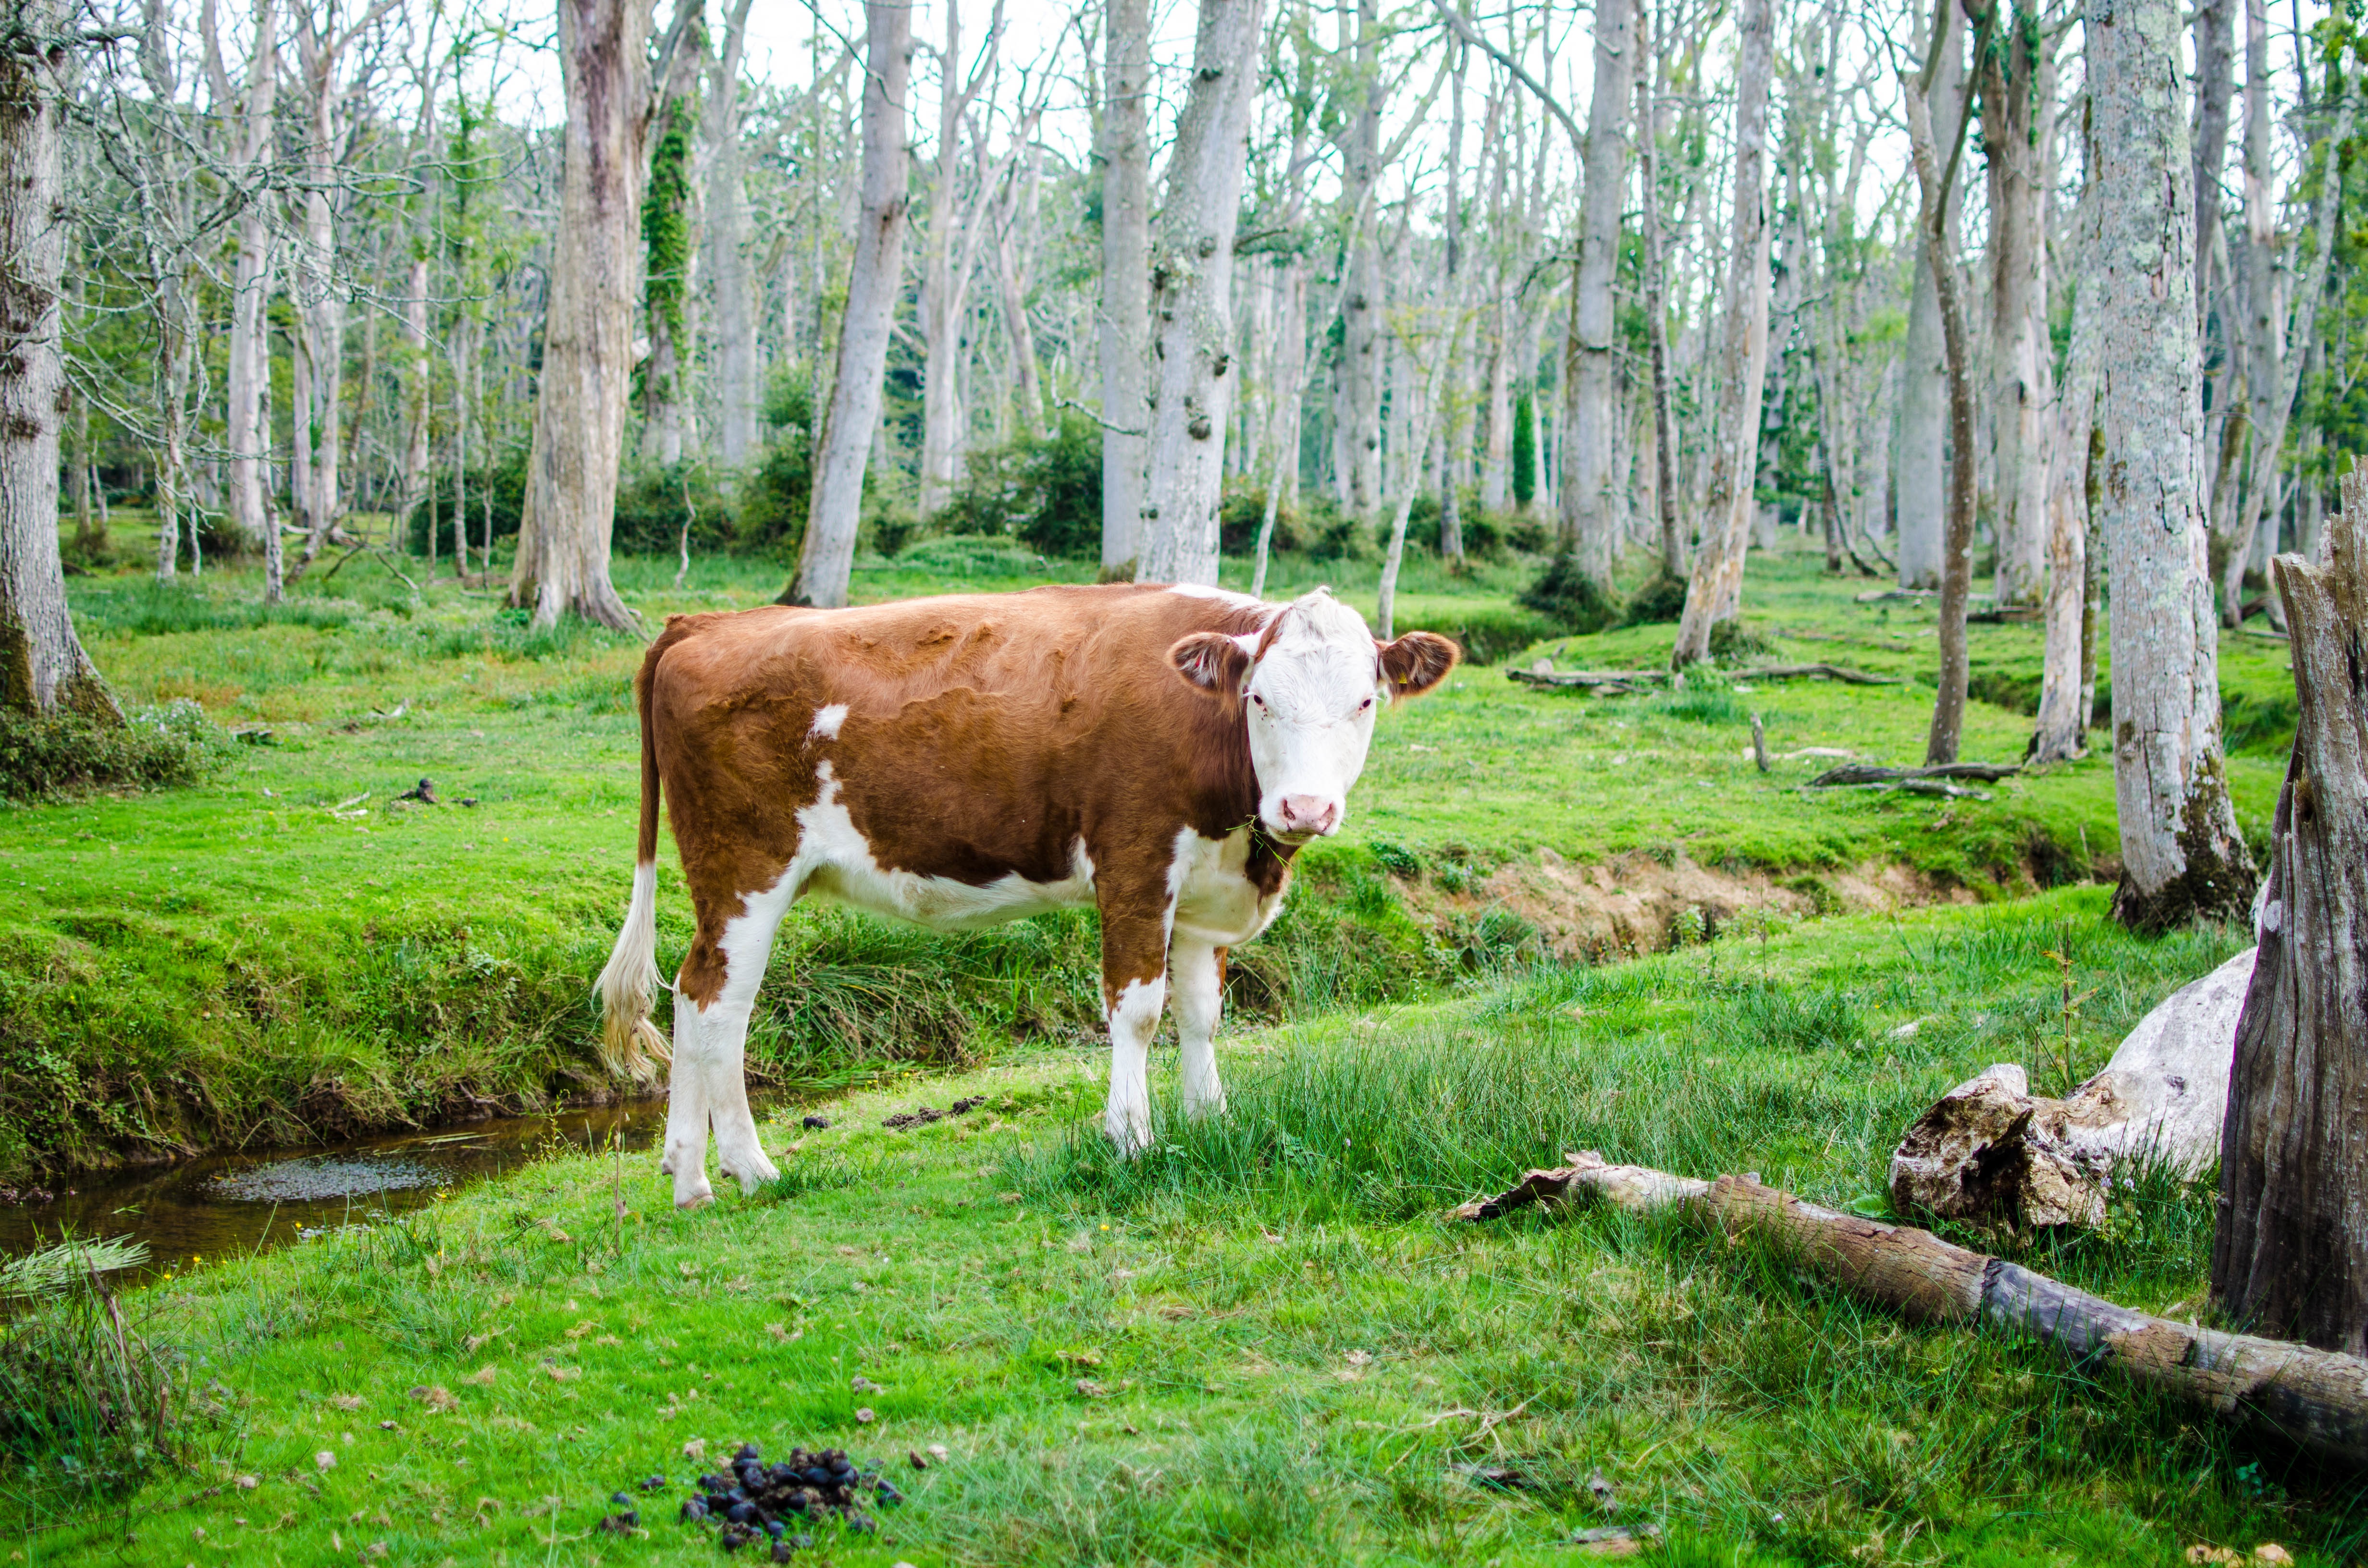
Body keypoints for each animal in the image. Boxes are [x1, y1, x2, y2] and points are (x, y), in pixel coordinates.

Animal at [595, 582, 1459, 1208]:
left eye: (1364, 701)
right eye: (1260, 700)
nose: (1304, 808)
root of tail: (708, 622)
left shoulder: (1201, 893)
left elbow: (1202, 1015)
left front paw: (1211, 1120)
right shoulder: (1134, 866)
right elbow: (1138, 1012)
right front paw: (1131, 1139)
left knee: (690, 992)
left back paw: (686, 1166)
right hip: (746, 868)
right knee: (720, 1002)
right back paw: (737, 1170)